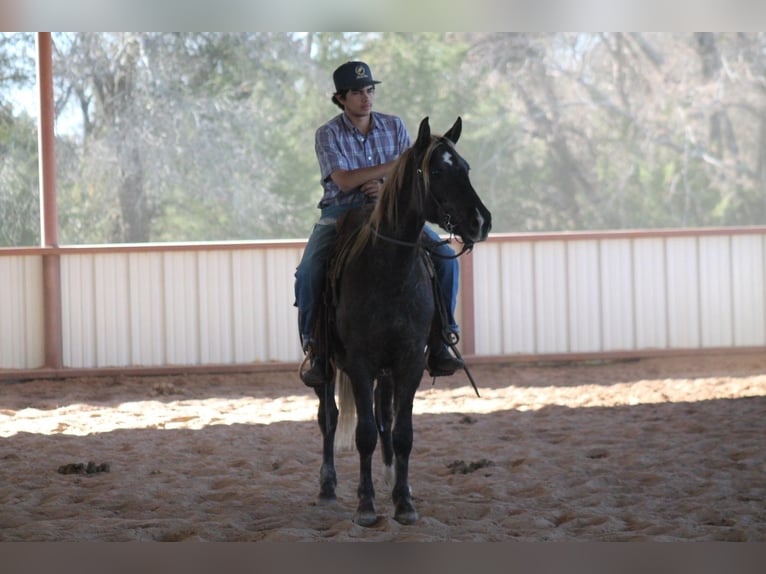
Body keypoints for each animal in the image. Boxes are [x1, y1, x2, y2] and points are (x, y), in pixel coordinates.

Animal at [312, 116, 492, 526]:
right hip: (329, 367)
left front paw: (404, 502)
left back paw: (392, 478)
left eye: (466, 167)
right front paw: (366, 505)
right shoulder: (360, 364)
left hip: (388, 372)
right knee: (329, 417)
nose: (480, 221)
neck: (388, 271)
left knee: (385, 419)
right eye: (437, 170)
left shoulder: (409, 362)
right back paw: (328, 488)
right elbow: (362, 433)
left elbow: (403, 433)